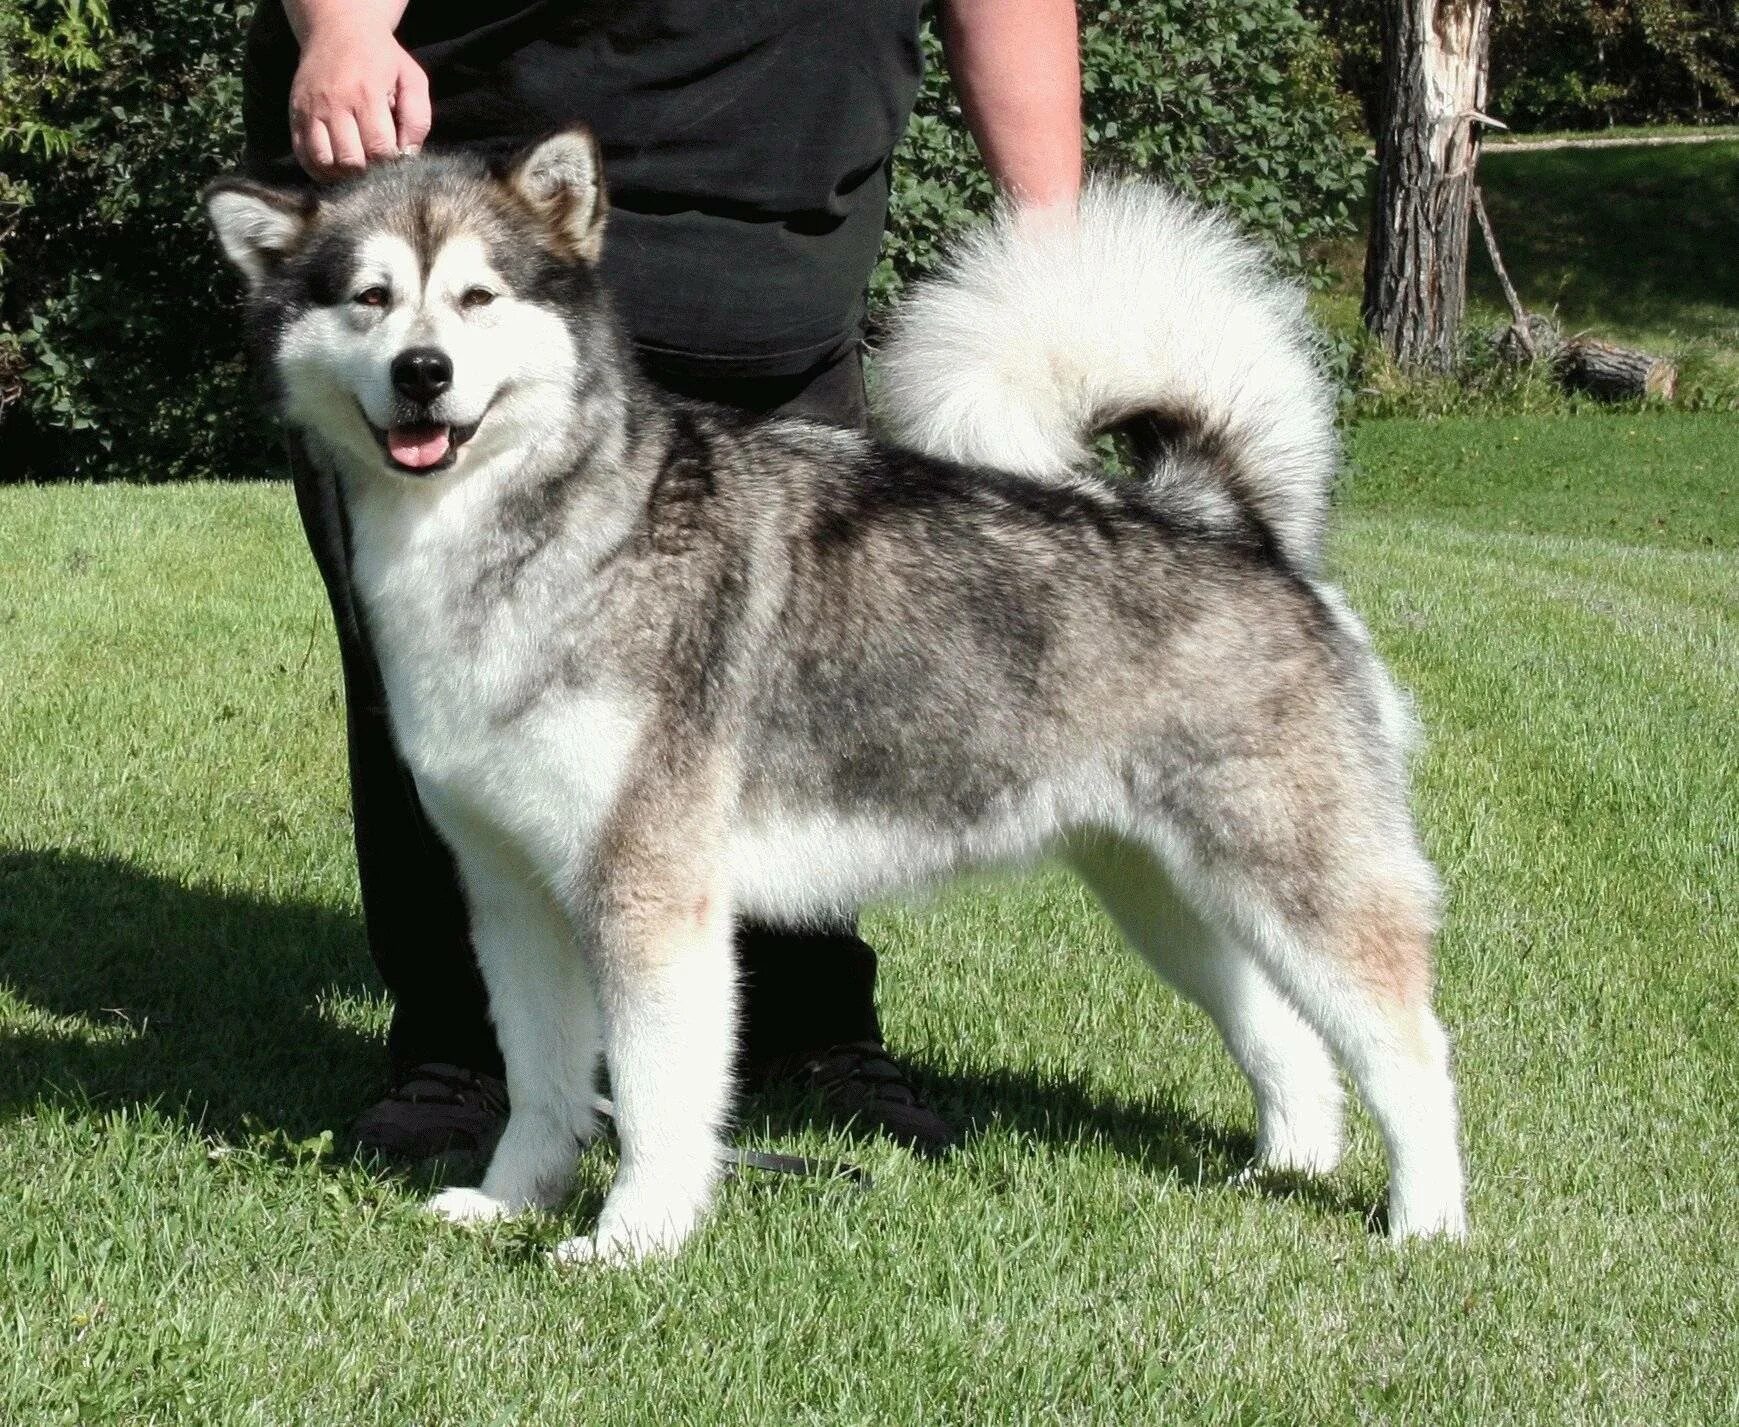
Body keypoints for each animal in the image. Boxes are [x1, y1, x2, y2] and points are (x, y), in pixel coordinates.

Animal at [203, 131, 1467, 1258]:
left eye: (475, 297)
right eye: (368, 299)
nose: (423, 373)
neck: (518, 542)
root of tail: (1226, 524)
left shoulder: (649, 896)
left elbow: (656, 1100)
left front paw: (630, 1241)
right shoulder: (514, 897)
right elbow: (543, 1083)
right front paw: (513, 1203)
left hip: (1295, 881)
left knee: (1411, 1053)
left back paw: (1425, 1223)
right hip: (1167, 894)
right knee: (1284, 1037)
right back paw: (1284, 1166)